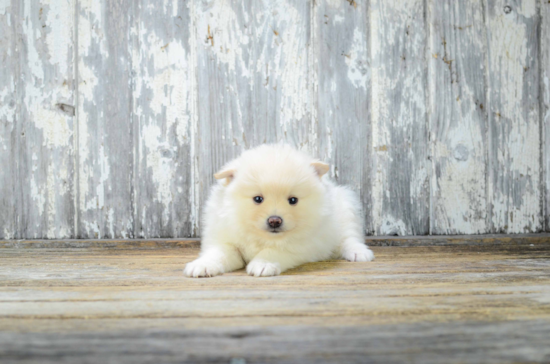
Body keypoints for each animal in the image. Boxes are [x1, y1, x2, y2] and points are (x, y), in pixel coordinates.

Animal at [184, 144, 376, 278]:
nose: (275, 220)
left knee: (349, 238)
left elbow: (273, 251)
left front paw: (263, 264)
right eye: (258, 199)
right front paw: (202, 265)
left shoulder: (299, 246)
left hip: (346, 209)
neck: (261, 237)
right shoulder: (227, 240)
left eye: (293, 200)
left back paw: (359, 252)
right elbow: (218, 254)